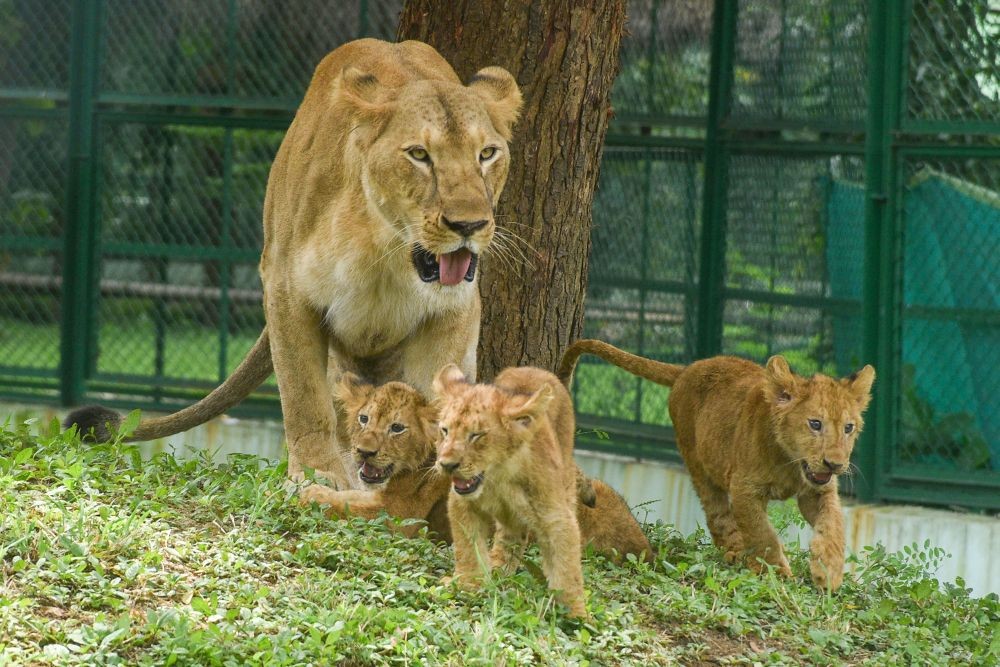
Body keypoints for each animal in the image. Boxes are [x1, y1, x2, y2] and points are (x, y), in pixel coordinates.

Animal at [64, 39, 523, 490]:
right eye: (419, 154)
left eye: (486, 153)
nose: (469, 225)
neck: (385, 249)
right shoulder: (286, 288)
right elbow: (304, 396)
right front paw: (318, 475)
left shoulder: (453, 309)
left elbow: (437, 400)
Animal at [302, 373, 653, 563]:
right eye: (364, 419)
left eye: (397, 428)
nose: (363, 453)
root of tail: (645, 548)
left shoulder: (399, 515)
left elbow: (343, 505)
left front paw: (309, 494)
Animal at [558, 339, 875, 591]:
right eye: (815, 424)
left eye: (848, 428)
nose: (835, 464)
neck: (790, 462)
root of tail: (687, 368)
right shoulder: (744, 488)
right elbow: (763, 534)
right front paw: (778, 574)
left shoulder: (818, 491)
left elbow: (835, 525)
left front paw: (828, 572)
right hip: (699, 462)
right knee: (718, 515)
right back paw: (736, 552)